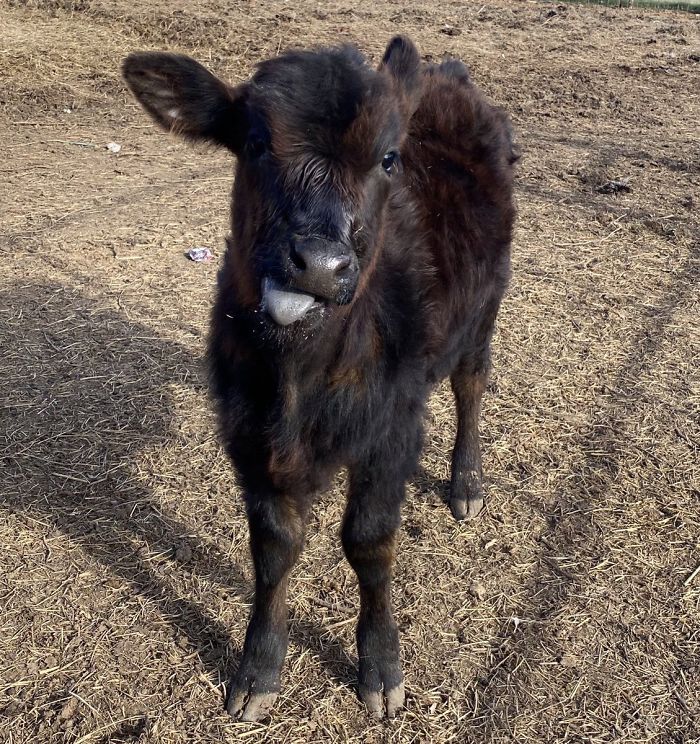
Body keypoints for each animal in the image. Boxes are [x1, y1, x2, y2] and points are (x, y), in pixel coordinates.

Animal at [122, 35, 517, 722]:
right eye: (255, 141)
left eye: (388, 158)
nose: (320, 264)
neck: (298, 379)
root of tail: (446, 76)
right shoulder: (249, 431)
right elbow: (274, 548)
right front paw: (258, 668)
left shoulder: (392, 427)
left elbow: (368, 542)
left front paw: (381, 665)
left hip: (485, 304)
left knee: (471, 383)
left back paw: (466, 481)